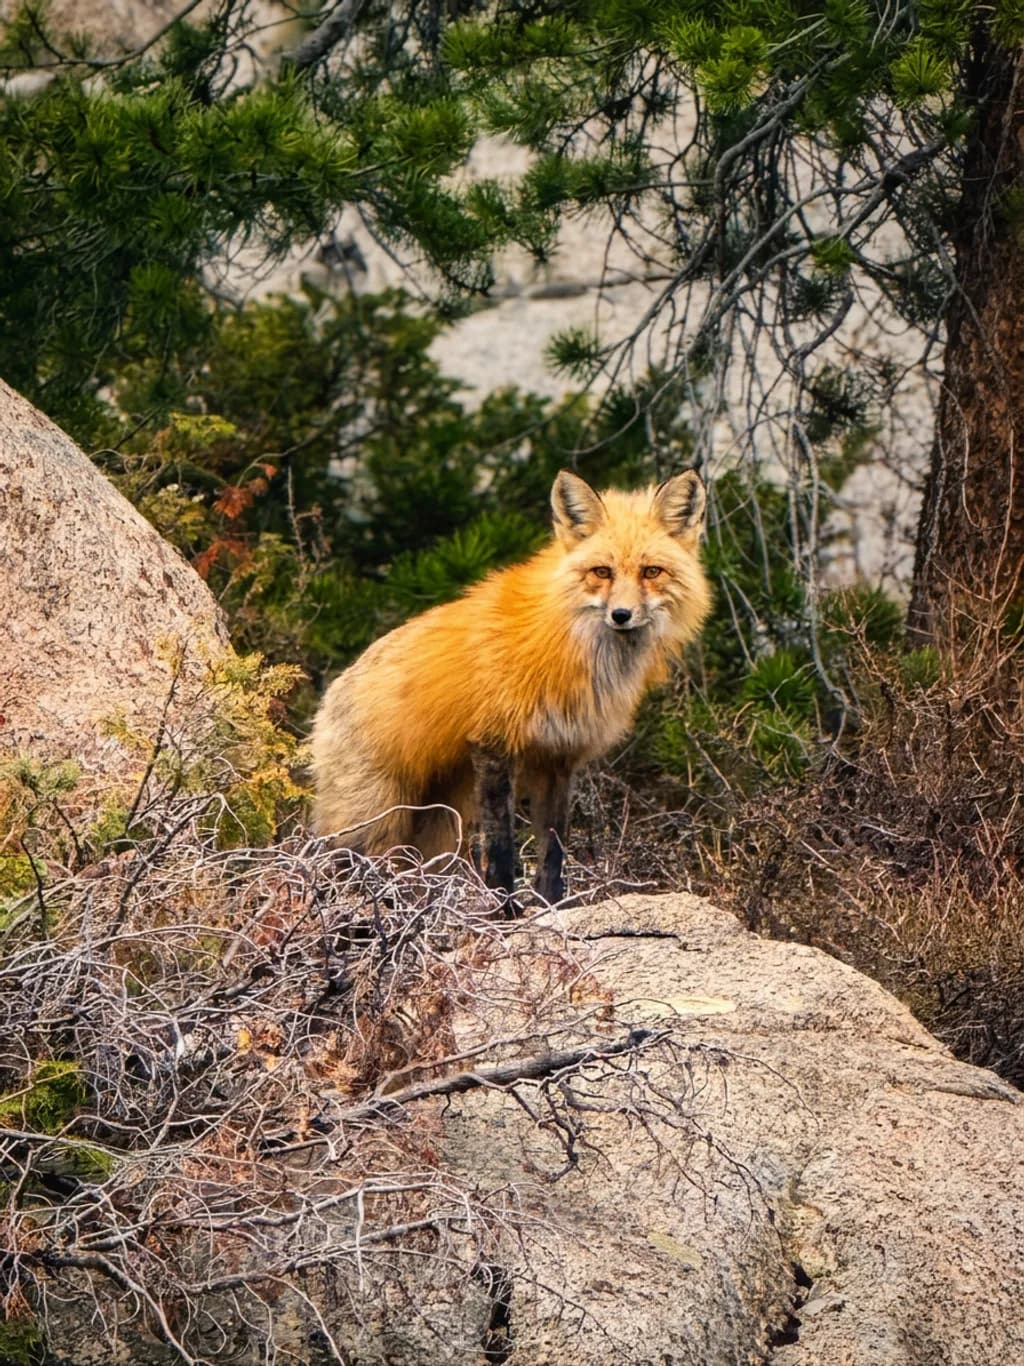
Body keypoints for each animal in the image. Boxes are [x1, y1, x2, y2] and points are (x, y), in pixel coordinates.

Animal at [311, 468, 711, 902]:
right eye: (601, 572)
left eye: (651, 571)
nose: (621, 615)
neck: (569, 645)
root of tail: (327, 699)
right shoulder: (494, 743)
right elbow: (501, 849)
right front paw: (504, 909)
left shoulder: (559, 756)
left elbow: (553, 850)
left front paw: (552, 906)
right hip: (374, 821)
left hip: (437, 825)